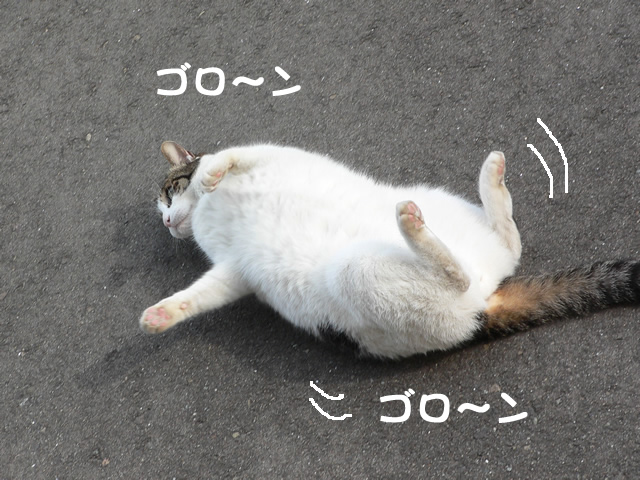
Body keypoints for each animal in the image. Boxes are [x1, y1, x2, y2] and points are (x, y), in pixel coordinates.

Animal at [140, 141, 640, 358]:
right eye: (162, 205)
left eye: (167, 192)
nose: (165, 222)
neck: (205, 215)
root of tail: (485, 302)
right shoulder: (234, 270)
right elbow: (200, 295)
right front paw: (160, 315)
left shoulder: (267, 152)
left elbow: (226, 157)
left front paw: (209, 173)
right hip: (375, 274)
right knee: (500, 246)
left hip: (381, 247)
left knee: (493, 251)